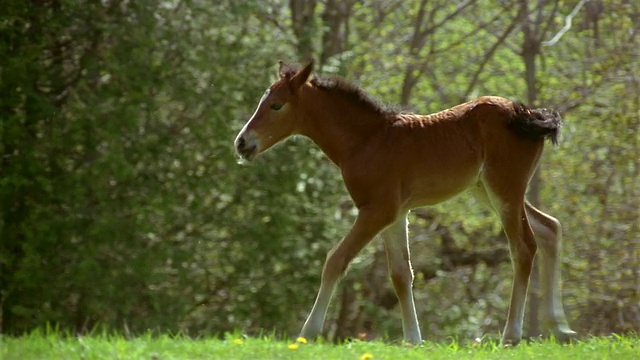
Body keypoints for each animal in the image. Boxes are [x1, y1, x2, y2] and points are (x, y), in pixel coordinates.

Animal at [234, 60, 576, 344]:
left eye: (276, 105)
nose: (241, 143)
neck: (366, 141)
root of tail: (527, 115)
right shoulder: (396, 214)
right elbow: (401, 274)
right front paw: (413, 339)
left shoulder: (377, 211)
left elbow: (335, 260)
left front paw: (308, 332)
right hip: (488, 190)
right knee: (549, 228)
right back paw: (560, 328)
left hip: (504, 190)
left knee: (524, 247)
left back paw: (512, 334)